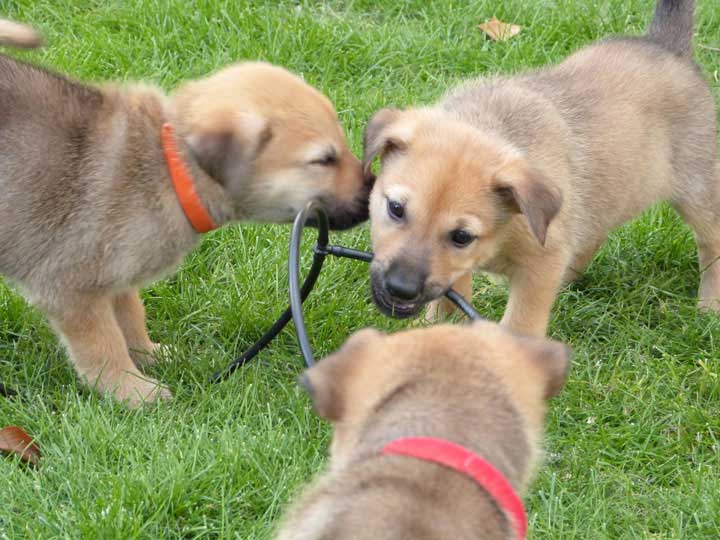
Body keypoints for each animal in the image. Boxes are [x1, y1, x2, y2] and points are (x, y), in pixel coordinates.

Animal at [0, 23, 372, 408]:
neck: (168, 168)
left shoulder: (116, 272)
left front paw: (149, 355)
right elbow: (104, 345)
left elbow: (130, 317)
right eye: (324, 160)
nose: (374, 189)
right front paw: (131, 389)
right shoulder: (71, 287)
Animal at [366, 0, 720, 336]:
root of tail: (667, 45)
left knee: (711, 244)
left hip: (699, 189)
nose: (401, 288)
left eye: (462, 236)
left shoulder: (541, 264)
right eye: (395, 208)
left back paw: (709, 308)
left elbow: (521, 323)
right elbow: (449, 298)